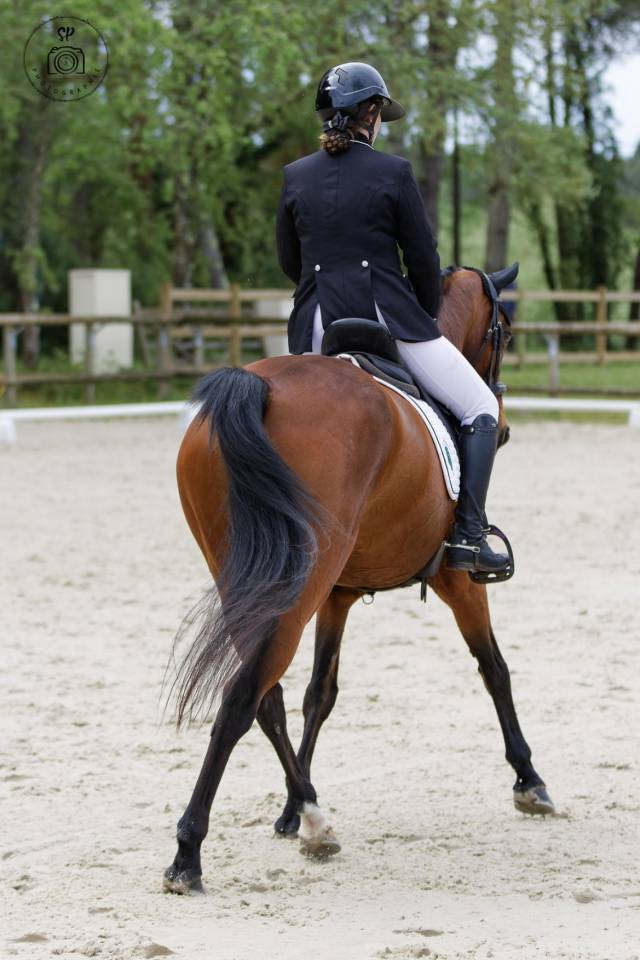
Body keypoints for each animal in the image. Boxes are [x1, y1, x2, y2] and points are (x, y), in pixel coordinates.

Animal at [163, 265, 554, 895]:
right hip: (296, 583)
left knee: (267, 695)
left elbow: (319, 694)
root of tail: (257, 388)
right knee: (242, 696)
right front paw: (529, 780)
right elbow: (495, 669)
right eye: (506, 333)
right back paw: (189, 853)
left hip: (249, 579)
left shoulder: (339, 595)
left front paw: (289, 812)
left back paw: (310, 815)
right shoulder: (458, 581)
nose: (503, 425)